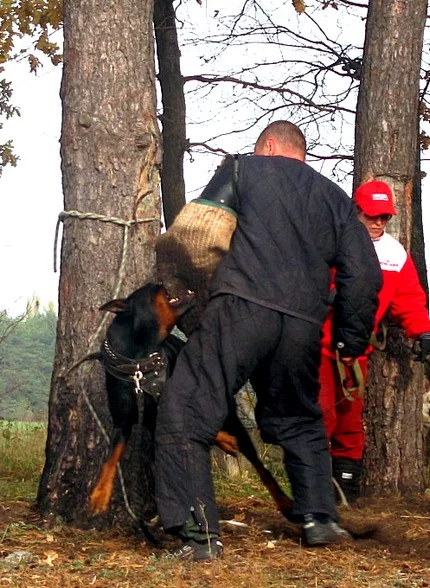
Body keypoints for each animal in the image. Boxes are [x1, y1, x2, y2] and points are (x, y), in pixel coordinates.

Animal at [89, 282, 293, 519]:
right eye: (150, 288)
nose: (159, 282)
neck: (140, 363)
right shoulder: (122, 421)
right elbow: (110, 458)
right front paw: (99, 495)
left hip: (232, 419)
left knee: (258, 463)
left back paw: (283, 501)